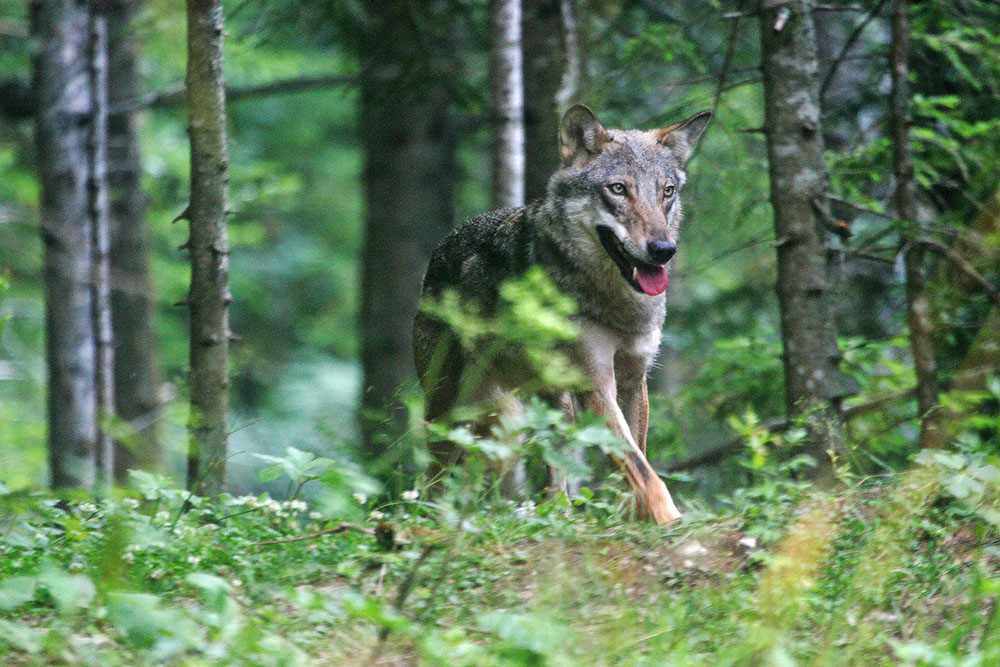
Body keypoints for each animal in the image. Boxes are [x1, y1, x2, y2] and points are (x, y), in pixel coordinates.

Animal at [412, 104, 712, 524]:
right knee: (430, 482)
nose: (663, 250)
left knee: (553, 476)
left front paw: (638, 520)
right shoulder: (598, 385)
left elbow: (634, 464)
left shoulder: (634, 379)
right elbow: (643, 470)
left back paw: (559, 514)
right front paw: (670, 521)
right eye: (618, 189)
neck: (618, 304)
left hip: (549, 409)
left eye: (666, 191)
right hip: (459, 416)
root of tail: (439, 251)